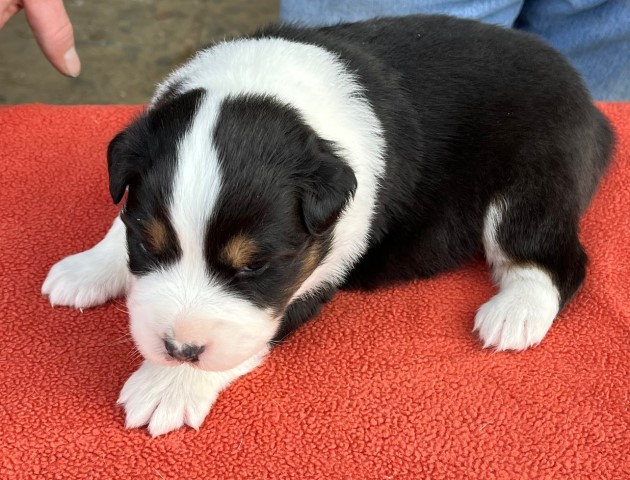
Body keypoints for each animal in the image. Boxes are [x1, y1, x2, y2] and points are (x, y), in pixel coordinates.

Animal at [42, 15, 616, 436]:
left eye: (254, 267)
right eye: (147, 241)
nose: (180, 349)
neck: (259, 83)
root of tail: (593, 107)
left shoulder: (312, 276)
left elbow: (252, 333)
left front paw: (167, 385)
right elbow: (119, 224)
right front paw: (89, 267)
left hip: (533, 177)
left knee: (554, 255)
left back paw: (515, 313)